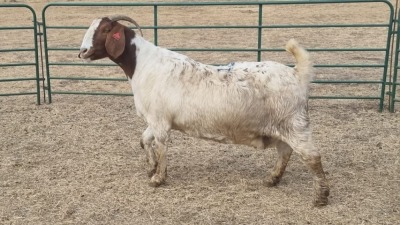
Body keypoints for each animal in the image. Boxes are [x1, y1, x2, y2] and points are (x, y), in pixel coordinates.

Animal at [79, 14, 332, 207]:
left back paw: (320, 198)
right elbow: (144, 140)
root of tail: (297, 74)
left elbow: (161, 147)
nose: (82, 52)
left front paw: (158, 179)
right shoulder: (156, 119)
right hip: (282, 126)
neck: (143, 65)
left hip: (295, 124)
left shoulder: (160, 121)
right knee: (284, 152)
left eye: (105, 30)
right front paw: (150, 167)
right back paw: (272, 179)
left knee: (312, 157)